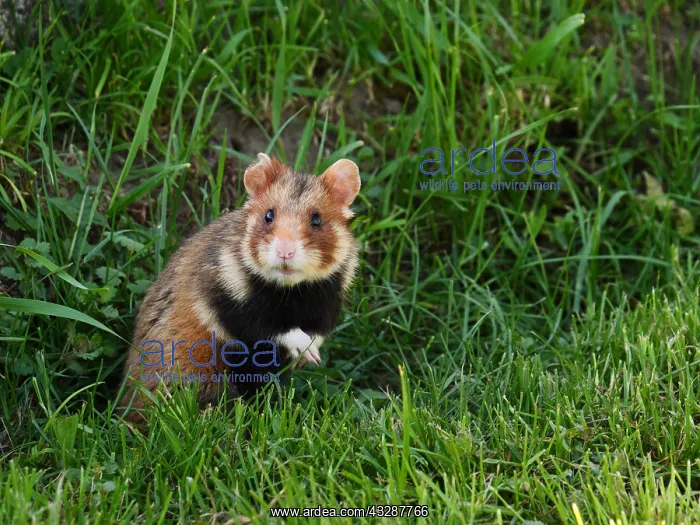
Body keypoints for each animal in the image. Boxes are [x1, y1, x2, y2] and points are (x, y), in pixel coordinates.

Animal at [119, 153, 361, 425]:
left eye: (316, 220)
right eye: (268, 215)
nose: (285, 252)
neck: (291, 291)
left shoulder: (327, 302)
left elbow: (316, 333)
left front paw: (309, 357)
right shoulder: (227, 301)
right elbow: (271, 328)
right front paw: (305, 351)